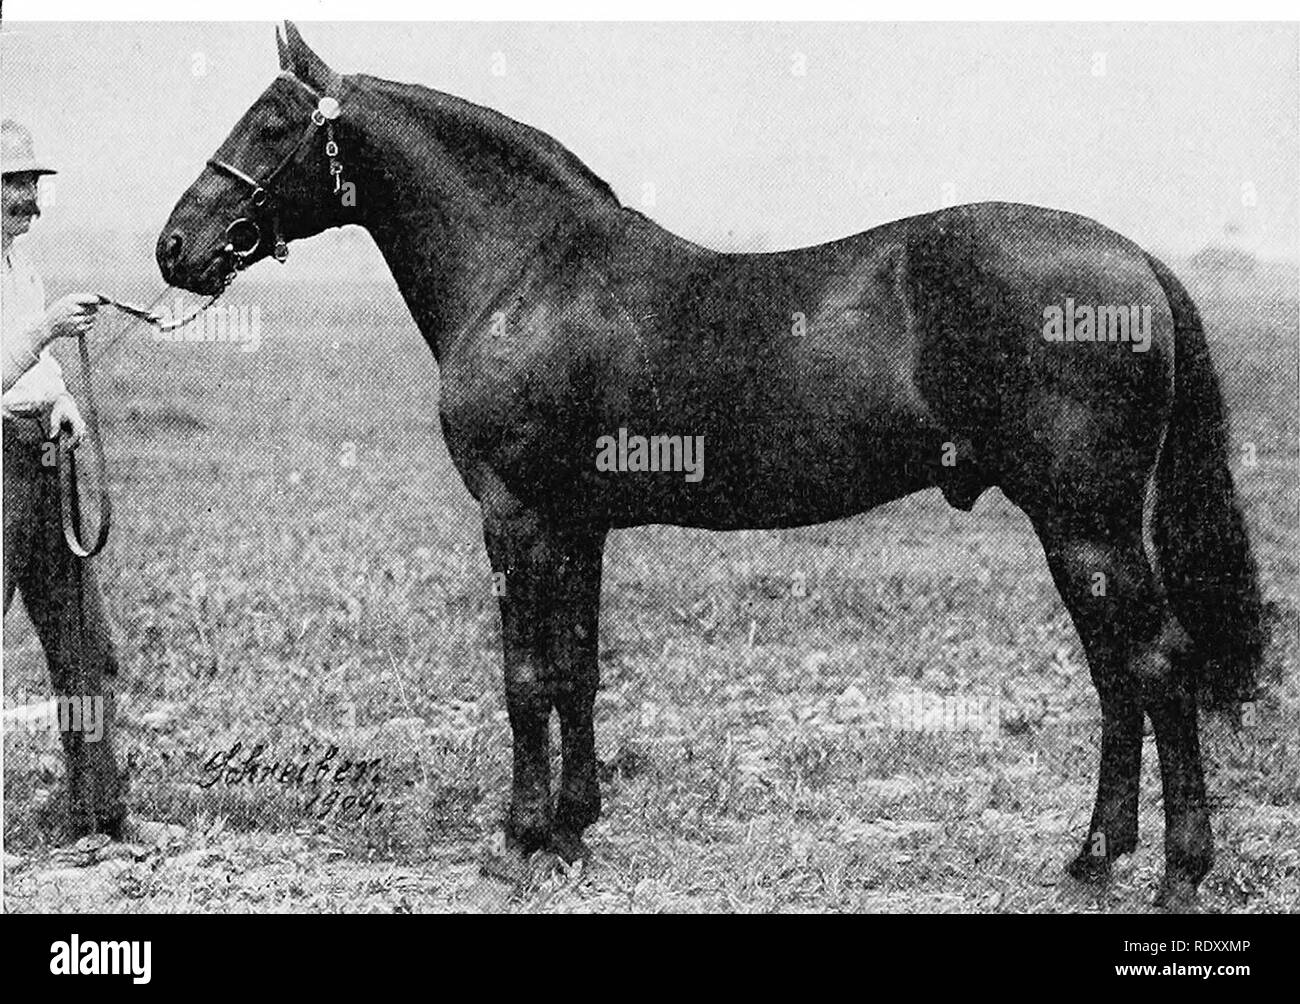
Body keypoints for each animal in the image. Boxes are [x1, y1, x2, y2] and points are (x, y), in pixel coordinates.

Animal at [157, 23, 1263, 905]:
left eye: (270, 125)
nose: (175, 247)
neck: (527, 274)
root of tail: (1135, 259)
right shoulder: (577, 524)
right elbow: (577, 670)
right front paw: (572, 828)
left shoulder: (515, 517)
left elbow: (525, 675)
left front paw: (517, 840)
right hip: (1077, 529)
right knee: (1118, 676)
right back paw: (1093, 857)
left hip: (1088, 523)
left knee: (1156, 666)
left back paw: (1176, 871)